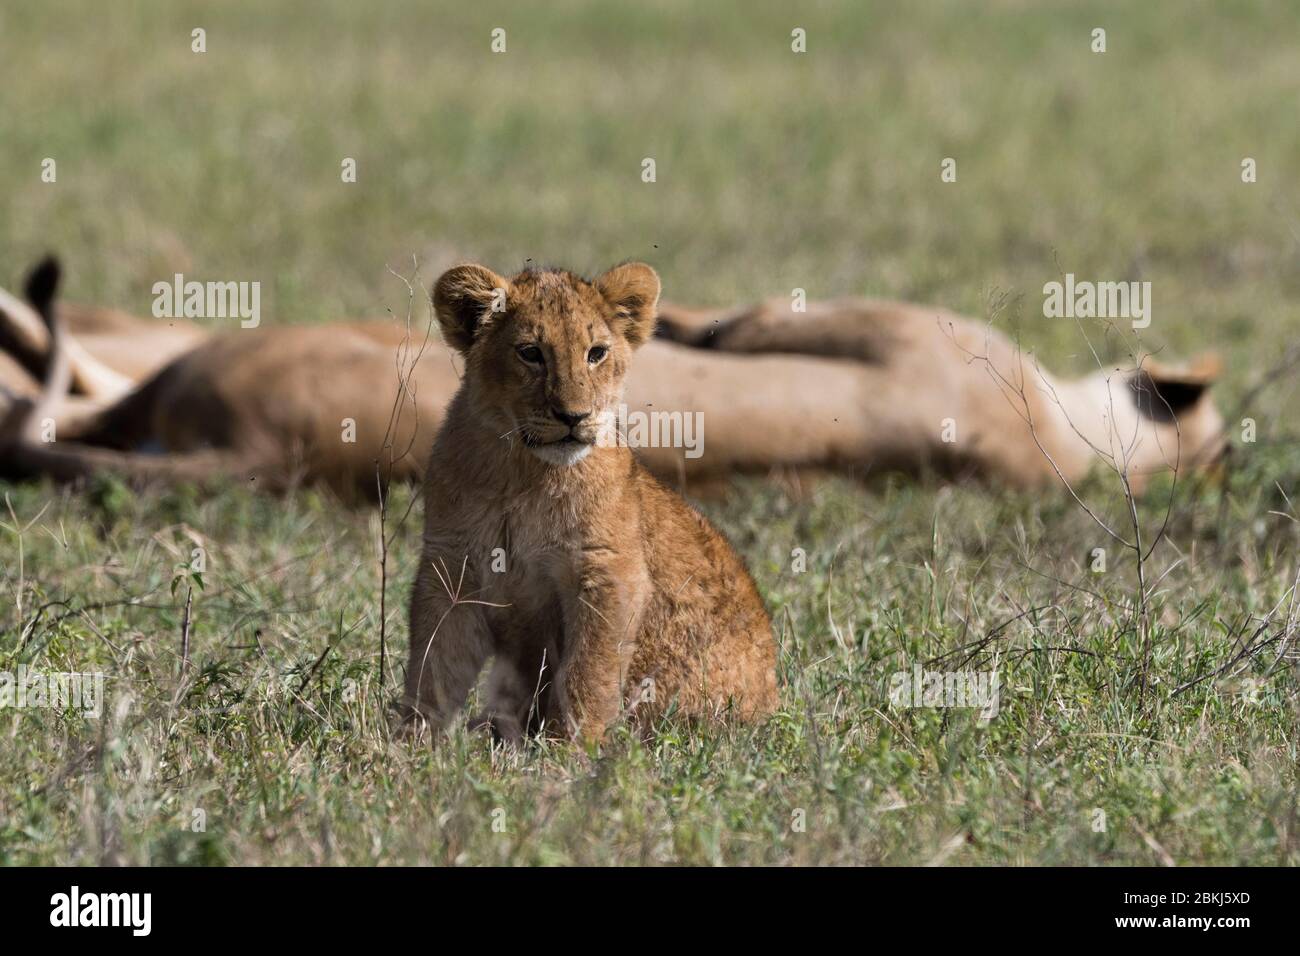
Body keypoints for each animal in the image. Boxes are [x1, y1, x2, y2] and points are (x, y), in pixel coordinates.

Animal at [401, 262, 778, 743]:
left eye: (595, 353)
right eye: (531, 353)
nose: (573, 416)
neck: (523, 473)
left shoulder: (608, 571)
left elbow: (588, 672)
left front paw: (570, 750)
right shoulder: (451, 566)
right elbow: (434, 664)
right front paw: (412, 744)